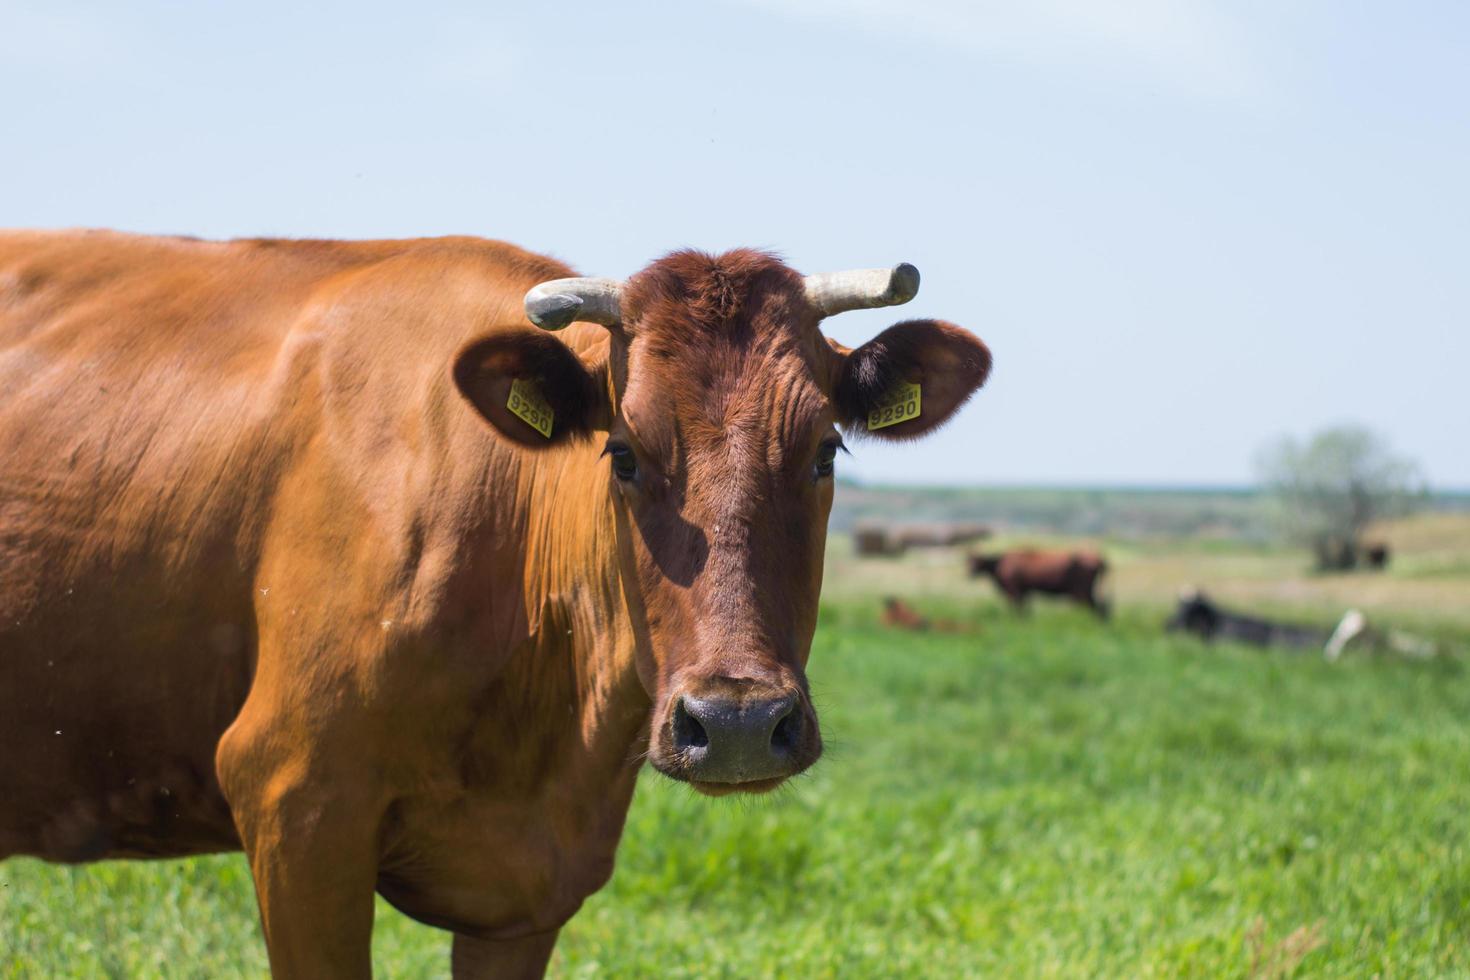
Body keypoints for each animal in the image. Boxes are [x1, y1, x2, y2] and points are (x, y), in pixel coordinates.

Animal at [970, 549, 1105, 617]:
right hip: (1086, 592)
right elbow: (1025, 608)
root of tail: (1098, 559)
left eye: (978, 562)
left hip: (1081, 592)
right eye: (969, 562)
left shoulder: (1014, 591)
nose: (969, 573)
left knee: (1094, 607)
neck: (1000, 562)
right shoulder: (1025, 591)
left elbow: (1017, 607)